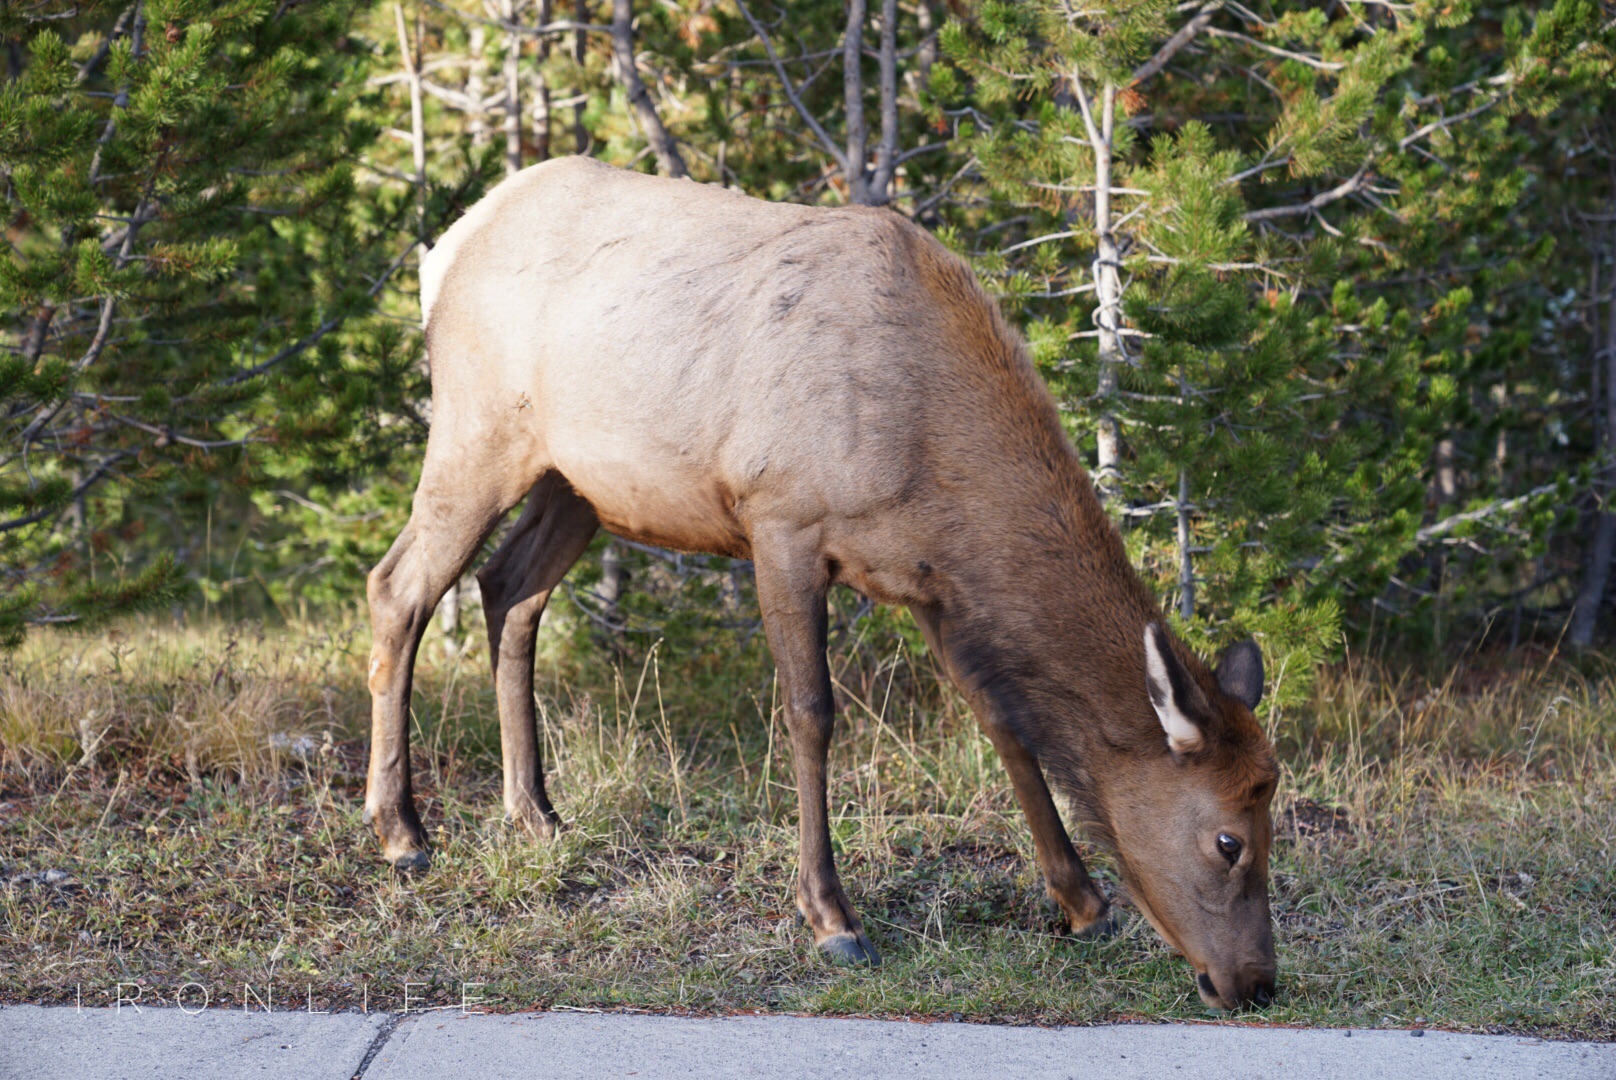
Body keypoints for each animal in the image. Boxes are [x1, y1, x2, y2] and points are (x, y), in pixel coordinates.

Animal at [360, 158, 1279, 1015]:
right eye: (1228, 840)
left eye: (1271, 808)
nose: (1256, 982)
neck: (933, 462)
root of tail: (445, 251)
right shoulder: (783, 520)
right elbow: (811, 714)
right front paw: (832, 918)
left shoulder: (929, 584)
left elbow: (1005, 723)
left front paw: (1083, 900)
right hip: (476, 428)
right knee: (398, 586)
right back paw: (402, 833)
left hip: (578, 481)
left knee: (508, 586)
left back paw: (535, 813)